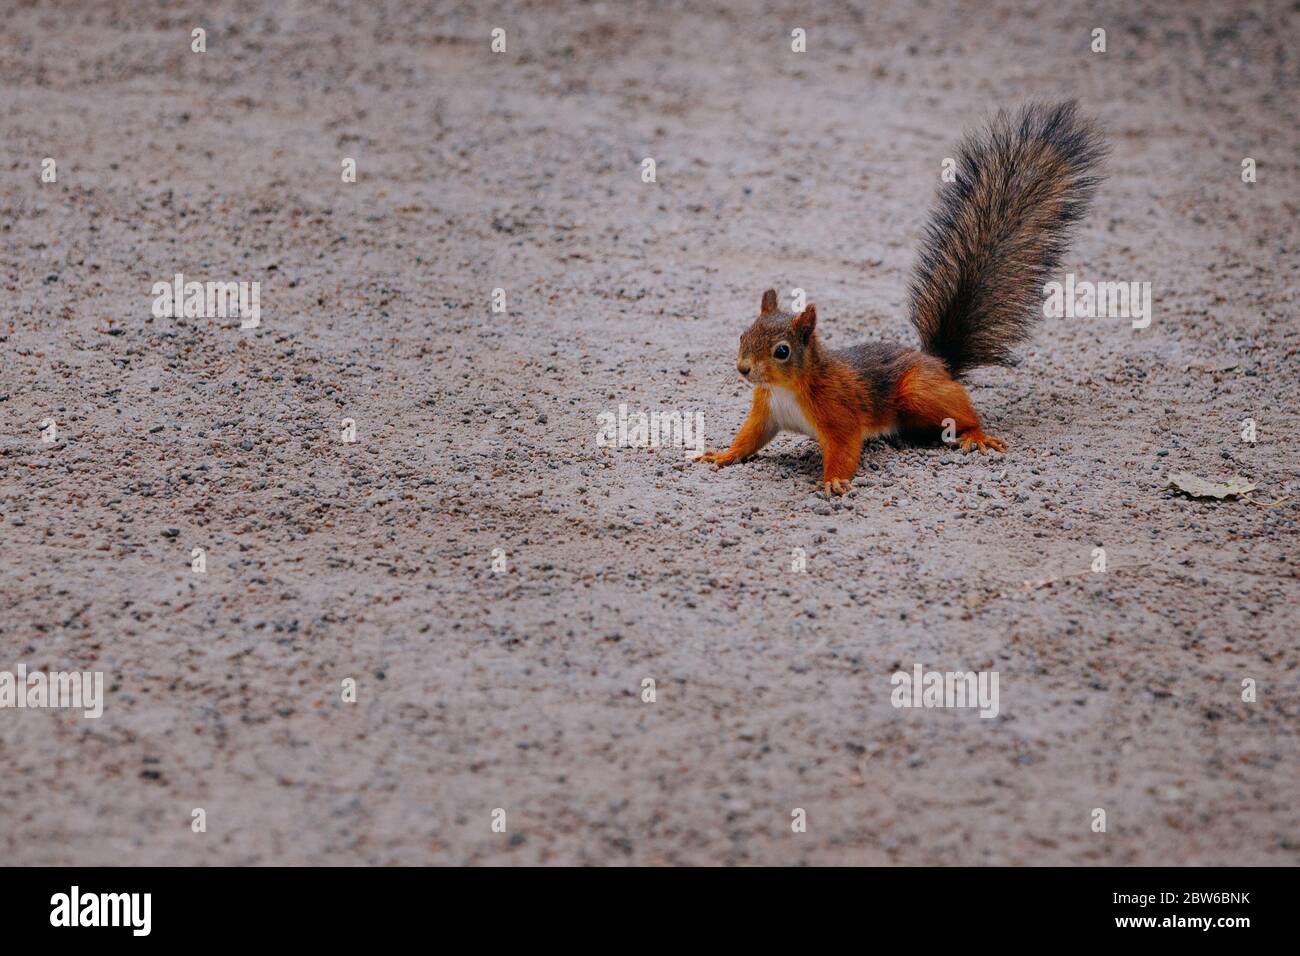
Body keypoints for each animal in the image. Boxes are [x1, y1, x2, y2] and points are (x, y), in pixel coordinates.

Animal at [696, 102, 1102, 496]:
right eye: (744, 334)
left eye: (782, 351)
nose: (743, 369)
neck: (786, 389)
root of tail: (938, 363)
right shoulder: (765, 412)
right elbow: (749, 439)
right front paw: (722, 454)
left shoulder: (839, 412)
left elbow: (844, 447)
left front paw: (833, 480)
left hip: (920, 391)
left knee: (964, 414)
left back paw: (976, 435)